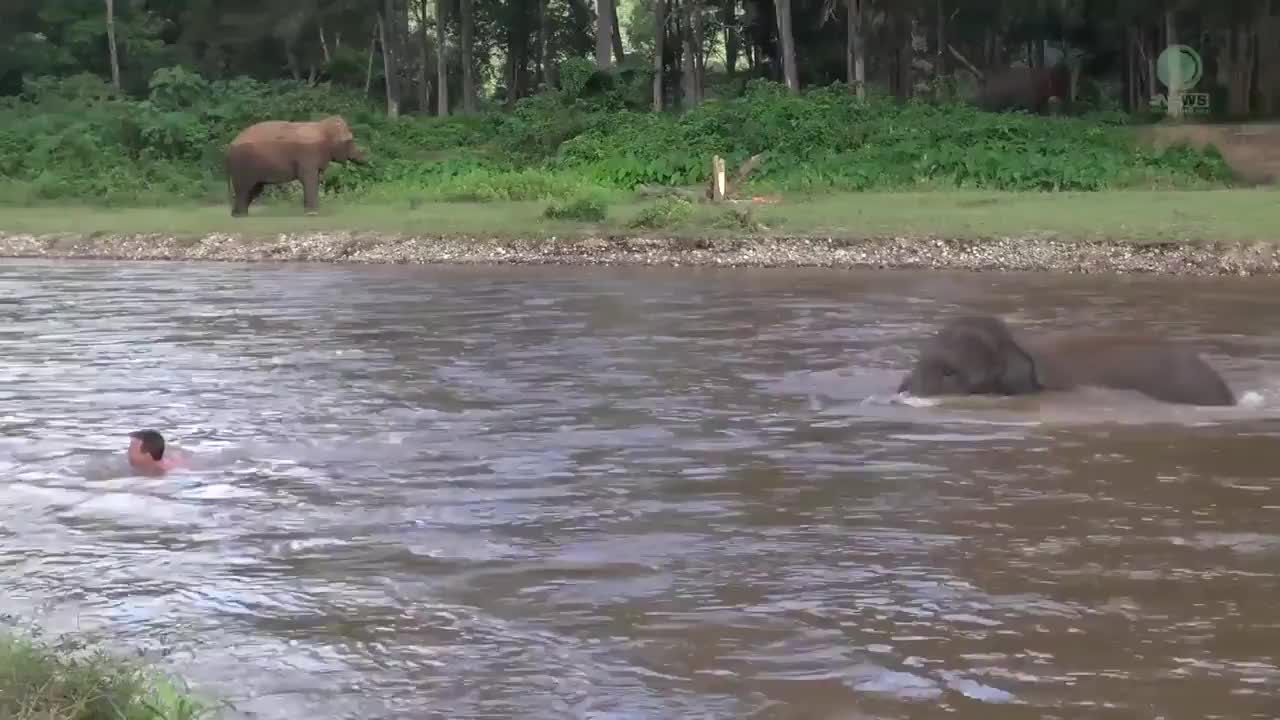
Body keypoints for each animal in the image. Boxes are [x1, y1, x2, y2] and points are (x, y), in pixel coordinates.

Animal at [224, 113, 366, 215]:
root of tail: (230, 145)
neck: (322, 127)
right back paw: (240, 215)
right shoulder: (308, 155)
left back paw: (238, 214)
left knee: (254, 189)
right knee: (244, 189)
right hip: (242, 165)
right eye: (350, 141)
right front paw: (312, 213)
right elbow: (308, 179)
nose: (365, 160)